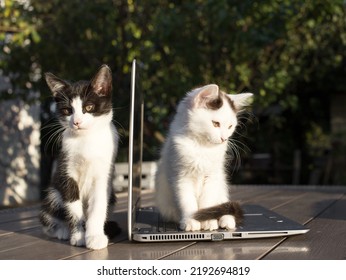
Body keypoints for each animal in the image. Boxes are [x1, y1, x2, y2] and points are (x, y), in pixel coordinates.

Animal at [39, 65, 119, 249]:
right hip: (53, 192)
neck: (85, 139)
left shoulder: (103, 175)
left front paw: (95, 236)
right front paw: (78, 236)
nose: (76, 122)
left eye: (88, 108)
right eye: (67, 110)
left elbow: (98, 206)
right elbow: (73, 207)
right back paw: (61, 231)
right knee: (49, 215)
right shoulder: (66, 170)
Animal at [155, 83, 253, 232]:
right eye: (215, 124)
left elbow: (207, 203)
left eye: (230, 126)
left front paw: (207, 220)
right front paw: (191, 221)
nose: (224, 139)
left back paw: (226, 220)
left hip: (221, 185)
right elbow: (187, 202)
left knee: (223, 205)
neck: (202, 147)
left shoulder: (212, 177)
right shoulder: (181, 177)